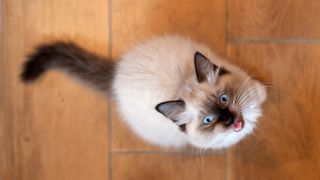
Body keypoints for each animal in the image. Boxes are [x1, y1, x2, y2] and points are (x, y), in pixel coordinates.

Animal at [21, 35, 266, 149]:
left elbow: (258, 90)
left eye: (224, 98)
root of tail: (116, 73)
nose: (230, 120)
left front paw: (264, 95)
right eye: (208, 120)